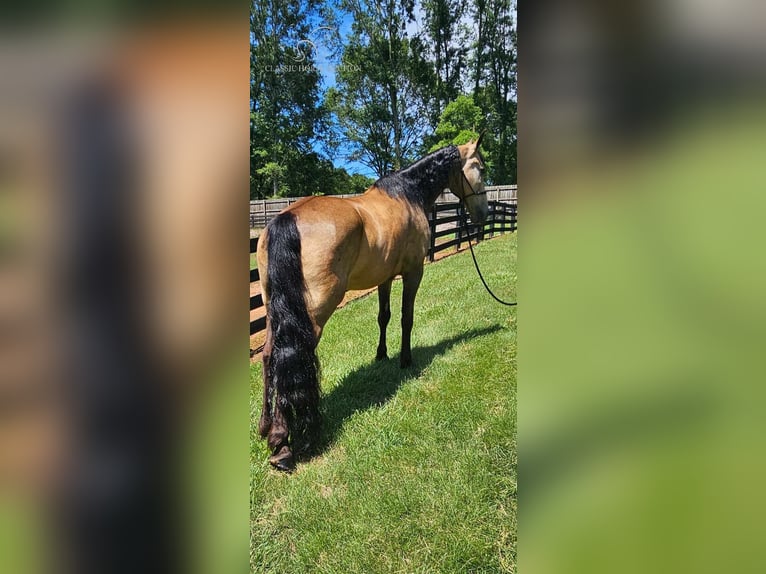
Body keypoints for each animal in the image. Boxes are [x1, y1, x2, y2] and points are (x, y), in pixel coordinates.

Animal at [255, 140, 488, 472]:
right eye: (480, 167)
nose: (484, 213)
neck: (408, 194)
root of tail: (286, 218)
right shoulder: (414, 271)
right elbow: (406, 317)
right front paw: (405, 359)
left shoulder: (385, 277)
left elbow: (384, 316)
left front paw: (381, 355)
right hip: (313, 314)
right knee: (290, 356)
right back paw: (283, 443)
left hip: (273, 308)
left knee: (268, 354)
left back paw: (267, 428)